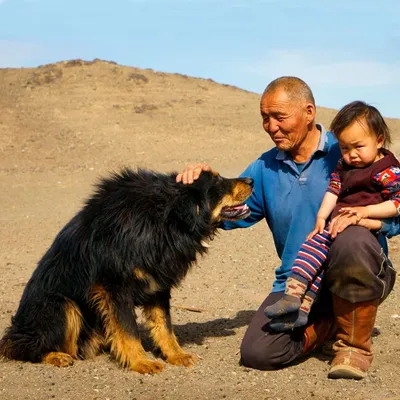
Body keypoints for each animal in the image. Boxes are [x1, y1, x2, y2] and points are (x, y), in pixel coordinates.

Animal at [0, 167, 253, 374]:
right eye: (217, 181)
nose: (251, 180)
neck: (163, 221)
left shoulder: (157, 283)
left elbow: (165, 326)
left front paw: (177, 355)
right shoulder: (114, 286)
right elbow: (129, 329)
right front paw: (142, 362)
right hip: (60, 305)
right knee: (22, 346)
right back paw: (56, 356)